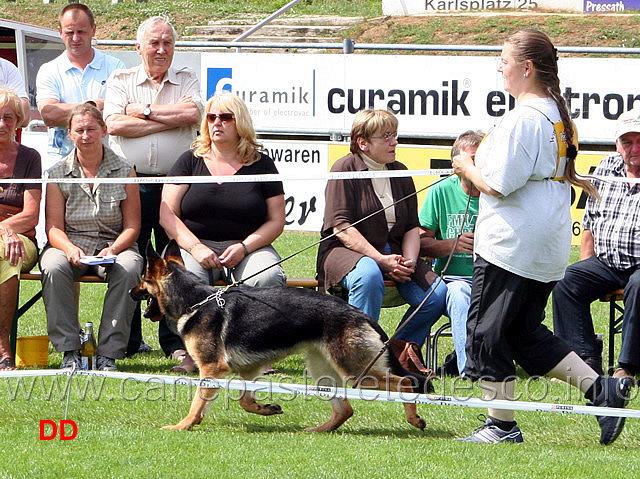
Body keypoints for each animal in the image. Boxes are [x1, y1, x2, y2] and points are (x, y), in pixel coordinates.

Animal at [129, 242, 430, 434]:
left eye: (142, 279)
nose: (131, 292)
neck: (196, 301)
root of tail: (360, 314)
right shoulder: (248, 370)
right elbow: (244, 401)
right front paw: (266, 408)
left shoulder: (211, 369)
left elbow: (197, 403)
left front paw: (183, 425)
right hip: (323, 371)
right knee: (345, 409)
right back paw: (318, 429)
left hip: (357, 372)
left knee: (405, 382)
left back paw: (414, 419)